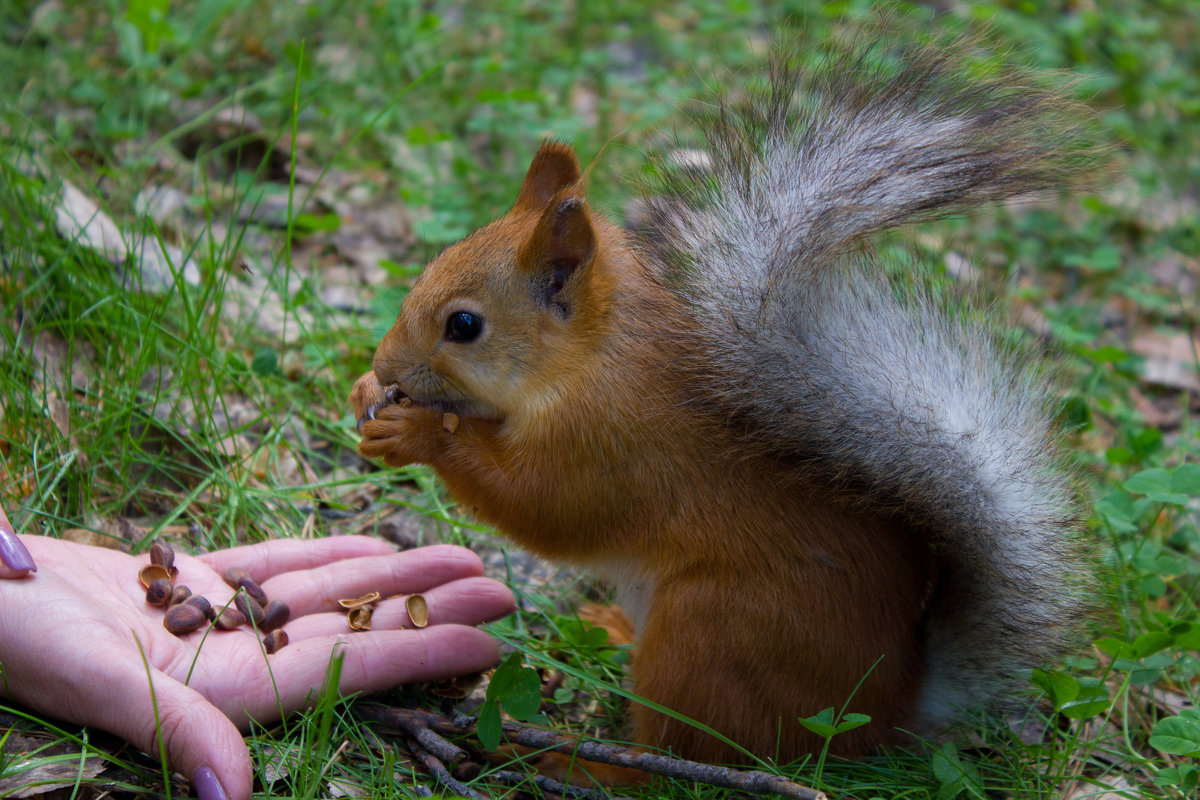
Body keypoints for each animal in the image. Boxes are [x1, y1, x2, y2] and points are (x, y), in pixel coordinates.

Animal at [350, 38, 1094, 762]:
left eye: (464, 325)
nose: (384, 365)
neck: (595, 359)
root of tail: (888, 712)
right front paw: (368, 393)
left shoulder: (610, 442)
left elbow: (543, 507)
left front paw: (419, 434)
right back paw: (609, 624)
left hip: (710, 635)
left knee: (678, 757)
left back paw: (572, 762)